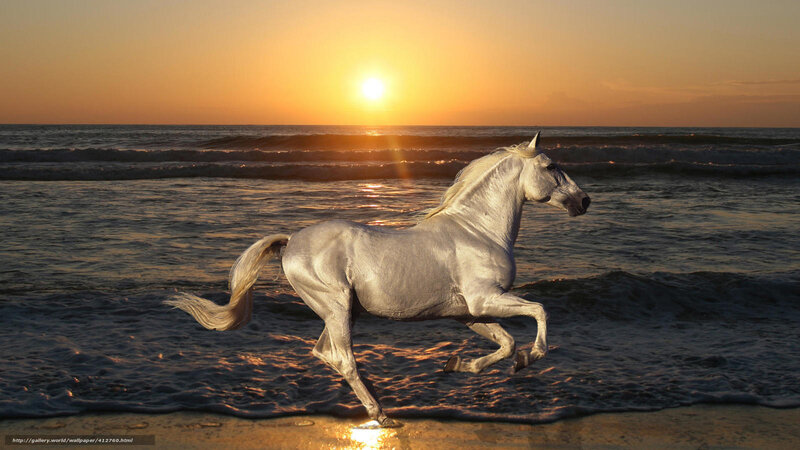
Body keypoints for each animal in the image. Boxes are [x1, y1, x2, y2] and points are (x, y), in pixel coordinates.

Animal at [165, 132, 590, 428]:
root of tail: (291, 242)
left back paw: (379, 400)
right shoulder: (485, 299)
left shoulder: (468, 312)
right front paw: (530, 358)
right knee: (342, 358)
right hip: (336, 307)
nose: (584, 201)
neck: (477, 231)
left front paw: (457, 365)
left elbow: (505, 344)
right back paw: (381, 413)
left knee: (326, 354)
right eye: (551, 166)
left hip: (341, 312)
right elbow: (539, 312)